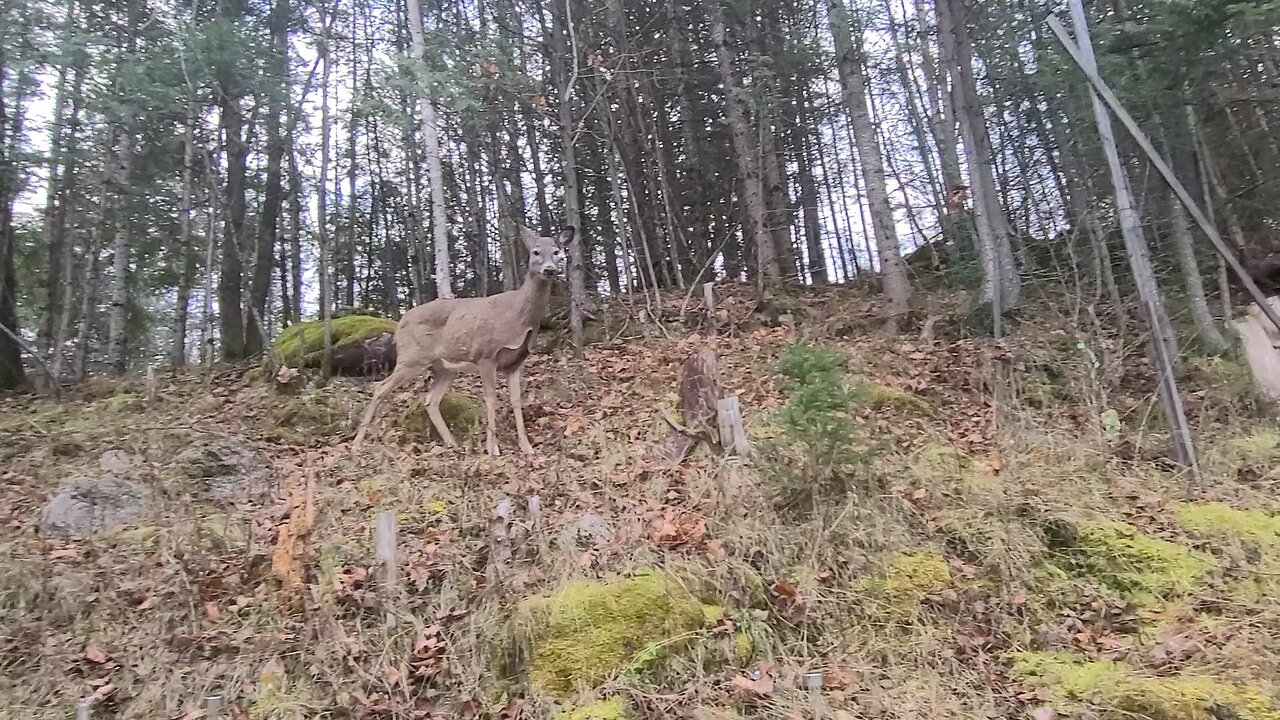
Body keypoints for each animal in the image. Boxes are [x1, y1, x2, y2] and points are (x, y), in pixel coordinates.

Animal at [348, 224, 573, 453]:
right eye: (535, 252)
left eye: (557, 252)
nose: (549, 270)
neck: (518, 315)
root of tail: (399, 323)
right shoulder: (485, 355)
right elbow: (491, 399)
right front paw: (493, 448)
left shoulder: (516, 362)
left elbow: (517, 401)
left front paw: (527, 447)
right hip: (412, 357)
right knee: (380, 387)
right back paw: (356, 444)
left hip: (444, 368)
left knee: (430, 400)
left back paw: (452, 443)